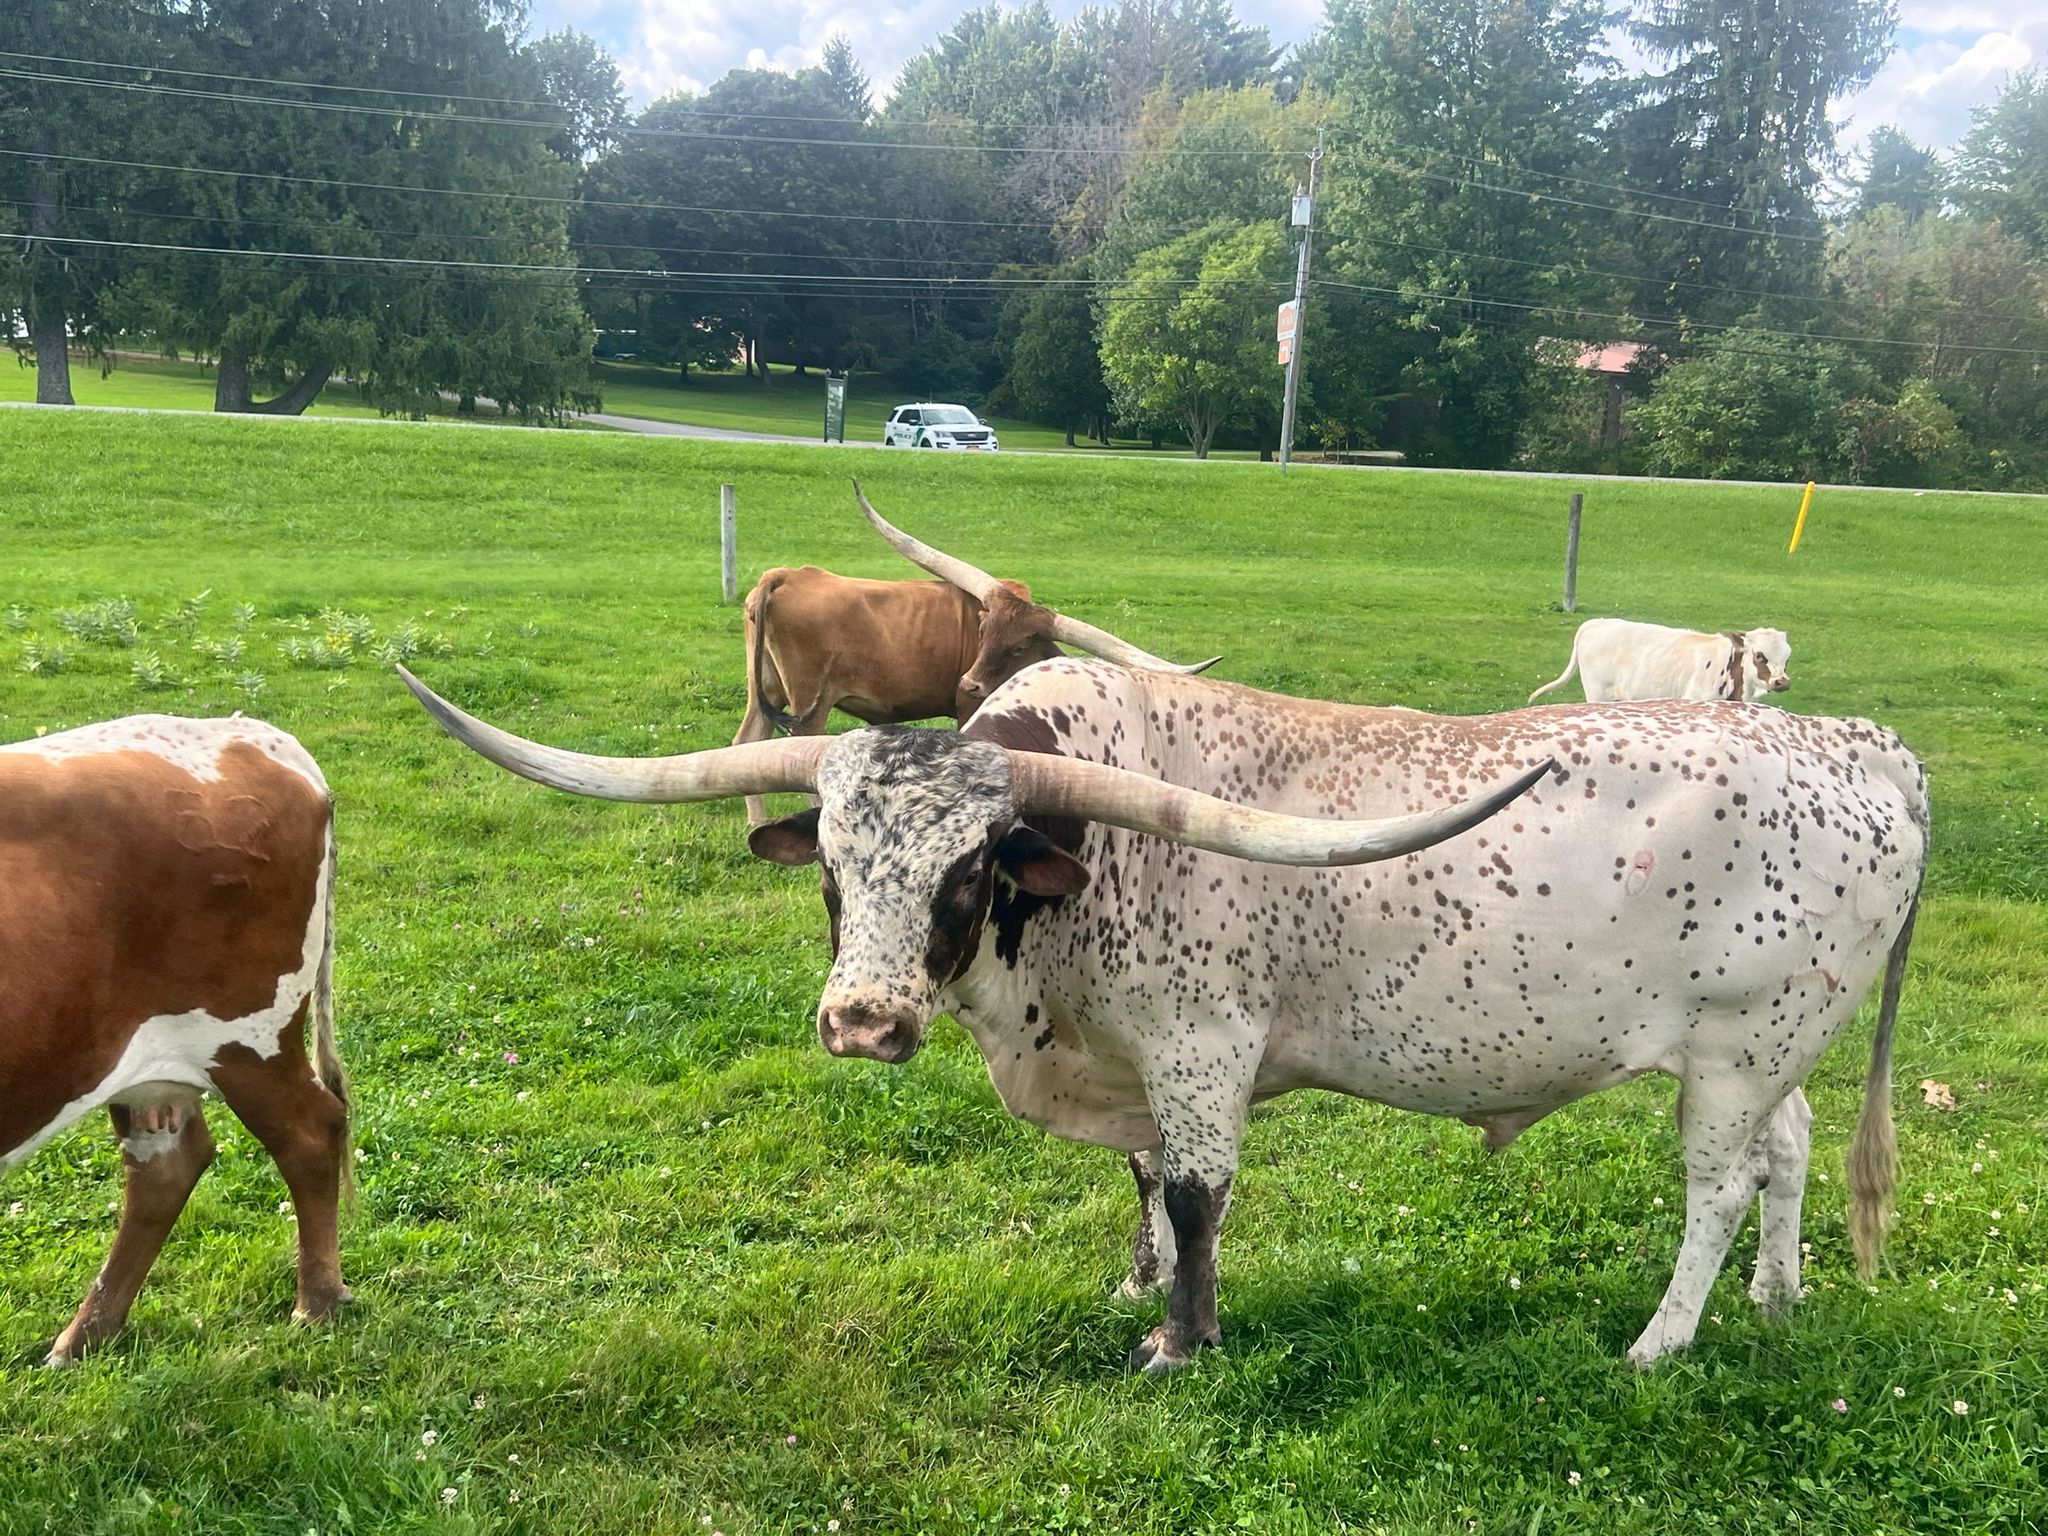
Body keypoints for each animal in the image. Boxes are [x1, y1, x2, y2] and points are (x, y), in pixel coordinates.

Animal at [1, 715, 351, 1365]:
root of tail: (249, 734)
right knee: (165, 1167)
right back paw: (85, 1337)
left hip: (248, 1040)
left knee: (311, 1133)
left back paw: (316, 1305)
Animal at [400, 658, 1925, 1375]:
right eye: (832, 868)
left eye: (968, 869)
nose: (863, 1025)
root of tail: (1862, 744)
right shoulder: (1132, 1060)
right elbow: (1140, 1182)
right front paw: (1135, 1281)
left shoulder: (1201, 1051)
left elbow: (1194, 1191)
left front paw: (1178, 1341)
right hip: (1772, 1049)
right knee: (1787, 1155)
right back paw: (1777, 1302)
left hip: (1728, 1051)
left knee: (1716, 1184)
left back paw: (1662, 1341)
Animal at [731, 484, 1218, 823]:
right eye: (984, 629)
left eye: (1018, 643)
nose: (969, 681)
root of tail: (783, 576)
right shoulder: (968, 711)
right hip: (809, 703)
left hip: (764, 691)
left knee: (747, 744)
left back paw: (754, 823)